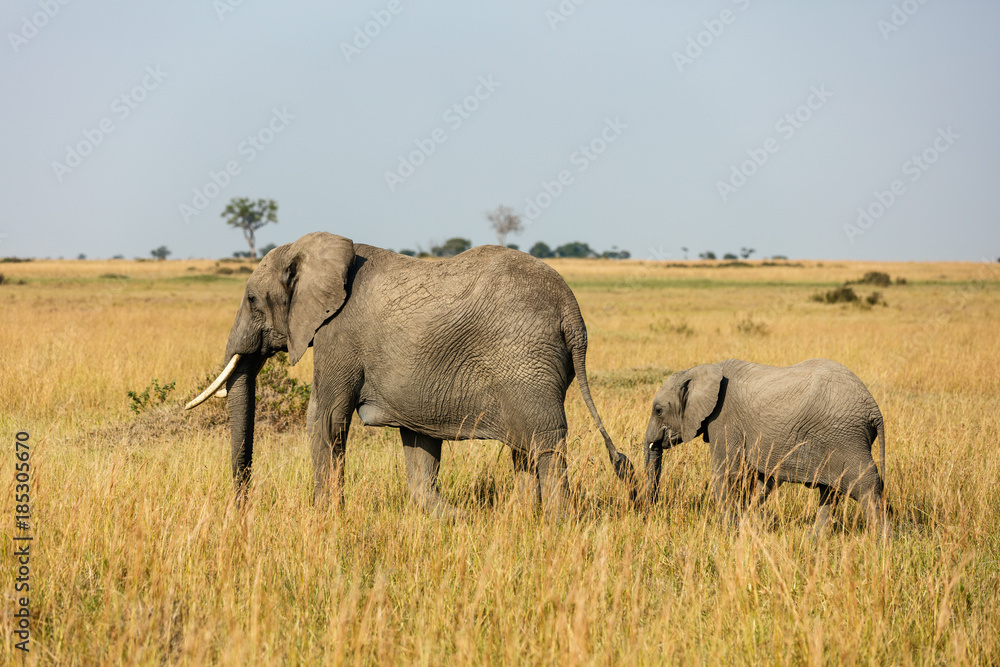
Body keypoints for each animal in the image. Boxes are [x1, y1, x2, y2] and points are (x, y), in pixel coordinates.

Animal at [186, 231, 636, 517]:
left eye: (251, 300)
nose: (242, 509)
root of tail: (572, 312)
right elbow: (418, 442)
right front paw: (453, 519)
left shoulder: (338, 335)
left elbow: (326, 419)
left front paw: (325, 519)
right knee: (523, 449)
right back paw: (523, 519)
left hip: (526, 359)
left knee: (546, 444)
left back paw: (557, 525)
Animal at [643, 359, 888, 534]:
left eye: (658, 410)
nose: (650, 509)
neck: (697, 371)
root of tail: (874, 410)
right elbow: (761, 481)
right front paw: (748, 525)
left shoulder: (723, 418)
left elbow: (727, 473)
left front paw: (730, 532)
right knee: (830, 491)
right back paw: (815, 540)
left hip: (846, 437)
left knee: (866, 486)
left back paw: (880, 543)